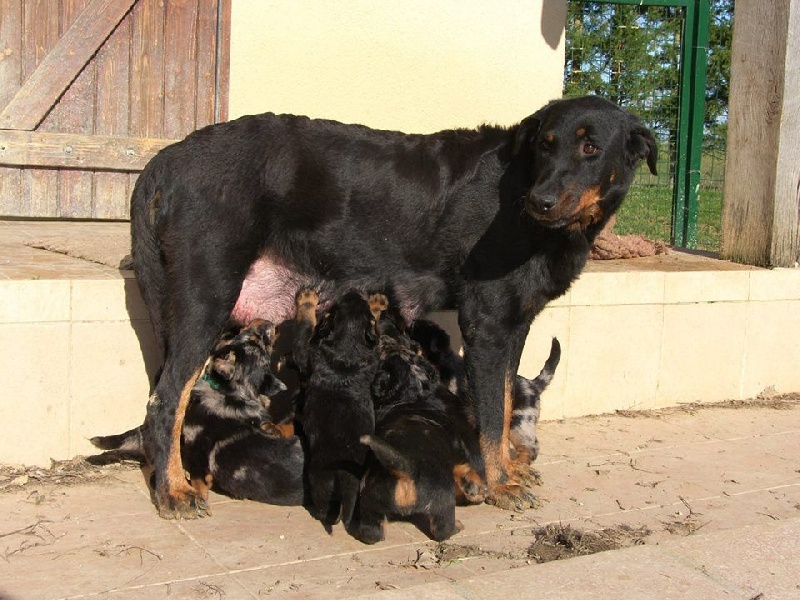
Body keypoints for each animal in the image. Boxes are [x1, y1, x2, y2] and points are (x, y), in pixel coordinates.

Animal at [294, 290, 382, 528]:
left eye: (336, 303)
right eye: (350, 300)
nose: (354, 290)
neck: (348, 346)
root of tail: (343, 472)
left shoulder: (307, 355)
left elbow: (305, 327)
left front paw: (307, 300)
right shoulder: (373, 357)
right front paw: (378, 305)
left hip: (320, 480)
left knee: (324, 505)